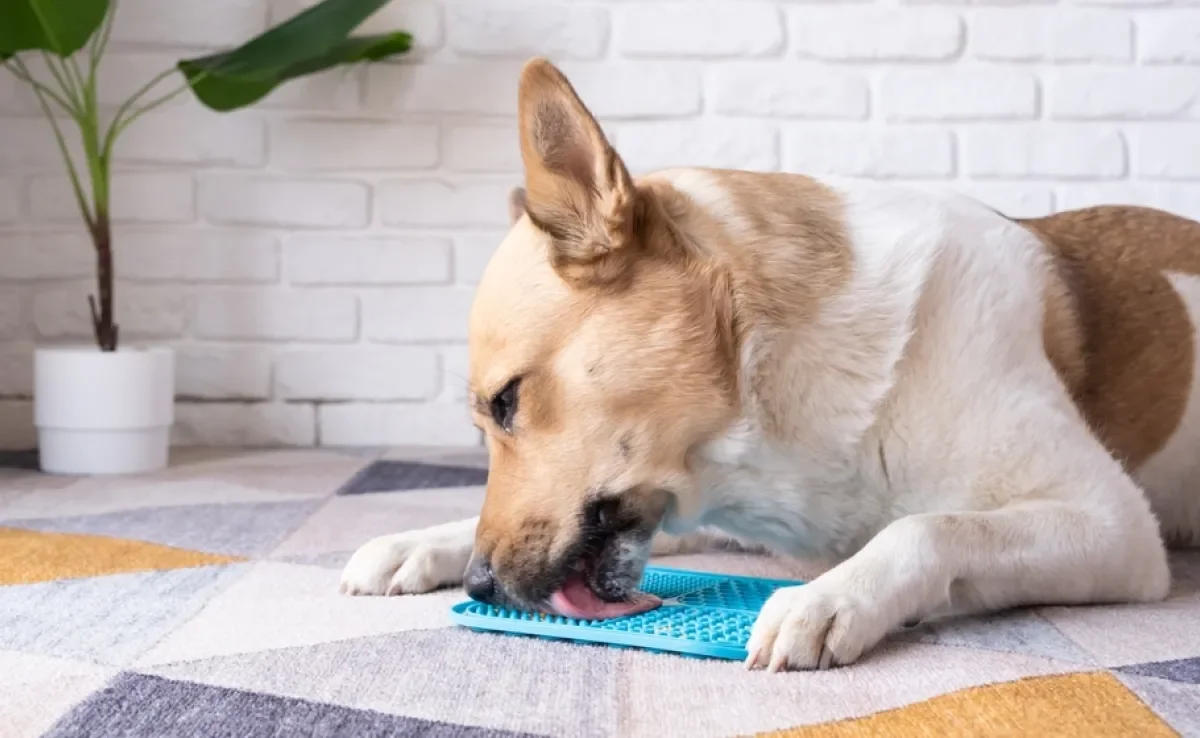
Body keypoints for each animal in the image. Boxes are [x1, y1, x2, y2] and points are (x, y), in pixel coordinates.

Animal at [340, 57, 1200, 672]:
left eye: (507, 402)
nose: (481, 587)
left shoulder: (1114, 525)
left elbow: (928, 528)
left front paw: (831, 599)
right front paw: (415, 543)